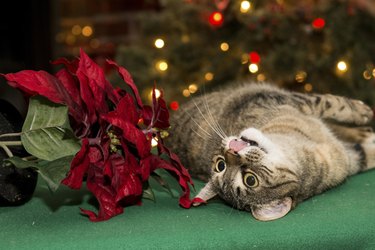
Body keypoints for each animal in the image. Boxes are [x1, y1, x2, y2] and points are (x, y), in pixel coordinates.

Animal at [167, 83, 375, 221]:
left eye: (220, 164)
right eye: (250, 180)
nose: (231, 152)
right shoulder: (276, 98)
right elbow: (329, 102)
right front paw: (364, 111)